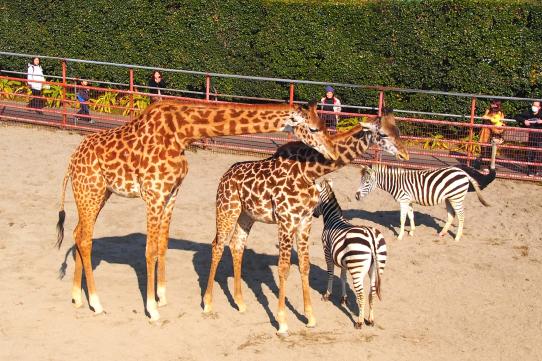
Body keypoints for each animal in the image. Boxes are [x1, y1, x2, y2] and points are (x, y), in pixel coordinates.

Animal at [58, 99, 340, 320]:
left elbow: (162, 244)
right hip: (90, 189)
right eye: (313, 128)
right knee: (85, 238)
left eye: (327, 125)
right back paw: (96, 303)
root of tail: (71, 161)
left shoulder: (171, 193)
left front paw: (161, 297)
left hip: (97, 193)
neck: (182, 132)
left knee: (78, 234)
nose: (333, 154)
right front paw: (152, 309)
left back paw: (77, 298)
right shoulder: (153, 194)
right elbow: (150, 250)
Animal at [314, 179, 386, 328]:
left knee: (362, 295)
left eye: (315, 199)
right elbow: (343, 277)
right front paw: (344, 298)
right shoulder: (343, 260)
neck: (333, 218)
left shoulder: (327, 252)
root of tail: (371, 237)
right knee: (372, 292)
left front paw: (327, 295)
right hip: (377, 267)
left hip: (357, 269)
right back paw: (370, 320)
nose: (313, 214)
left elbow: (330, 273)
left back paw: (359, 322)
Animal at [354, 165, 490, 240]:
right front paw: (412, 231)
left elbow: (402, 218)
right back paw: (442, 233)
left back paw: (457, 237)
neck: (395, 183)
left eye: (366, 182)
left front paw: (400, 236)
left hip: (456, 197)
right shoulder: (409, 201)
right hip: (449, 198)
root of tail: (463, 172)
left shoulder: (403, 200)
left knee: (461, 216)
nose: (356, 196)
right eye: (361, 181)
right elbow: (411, 216)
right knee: (451, 216)